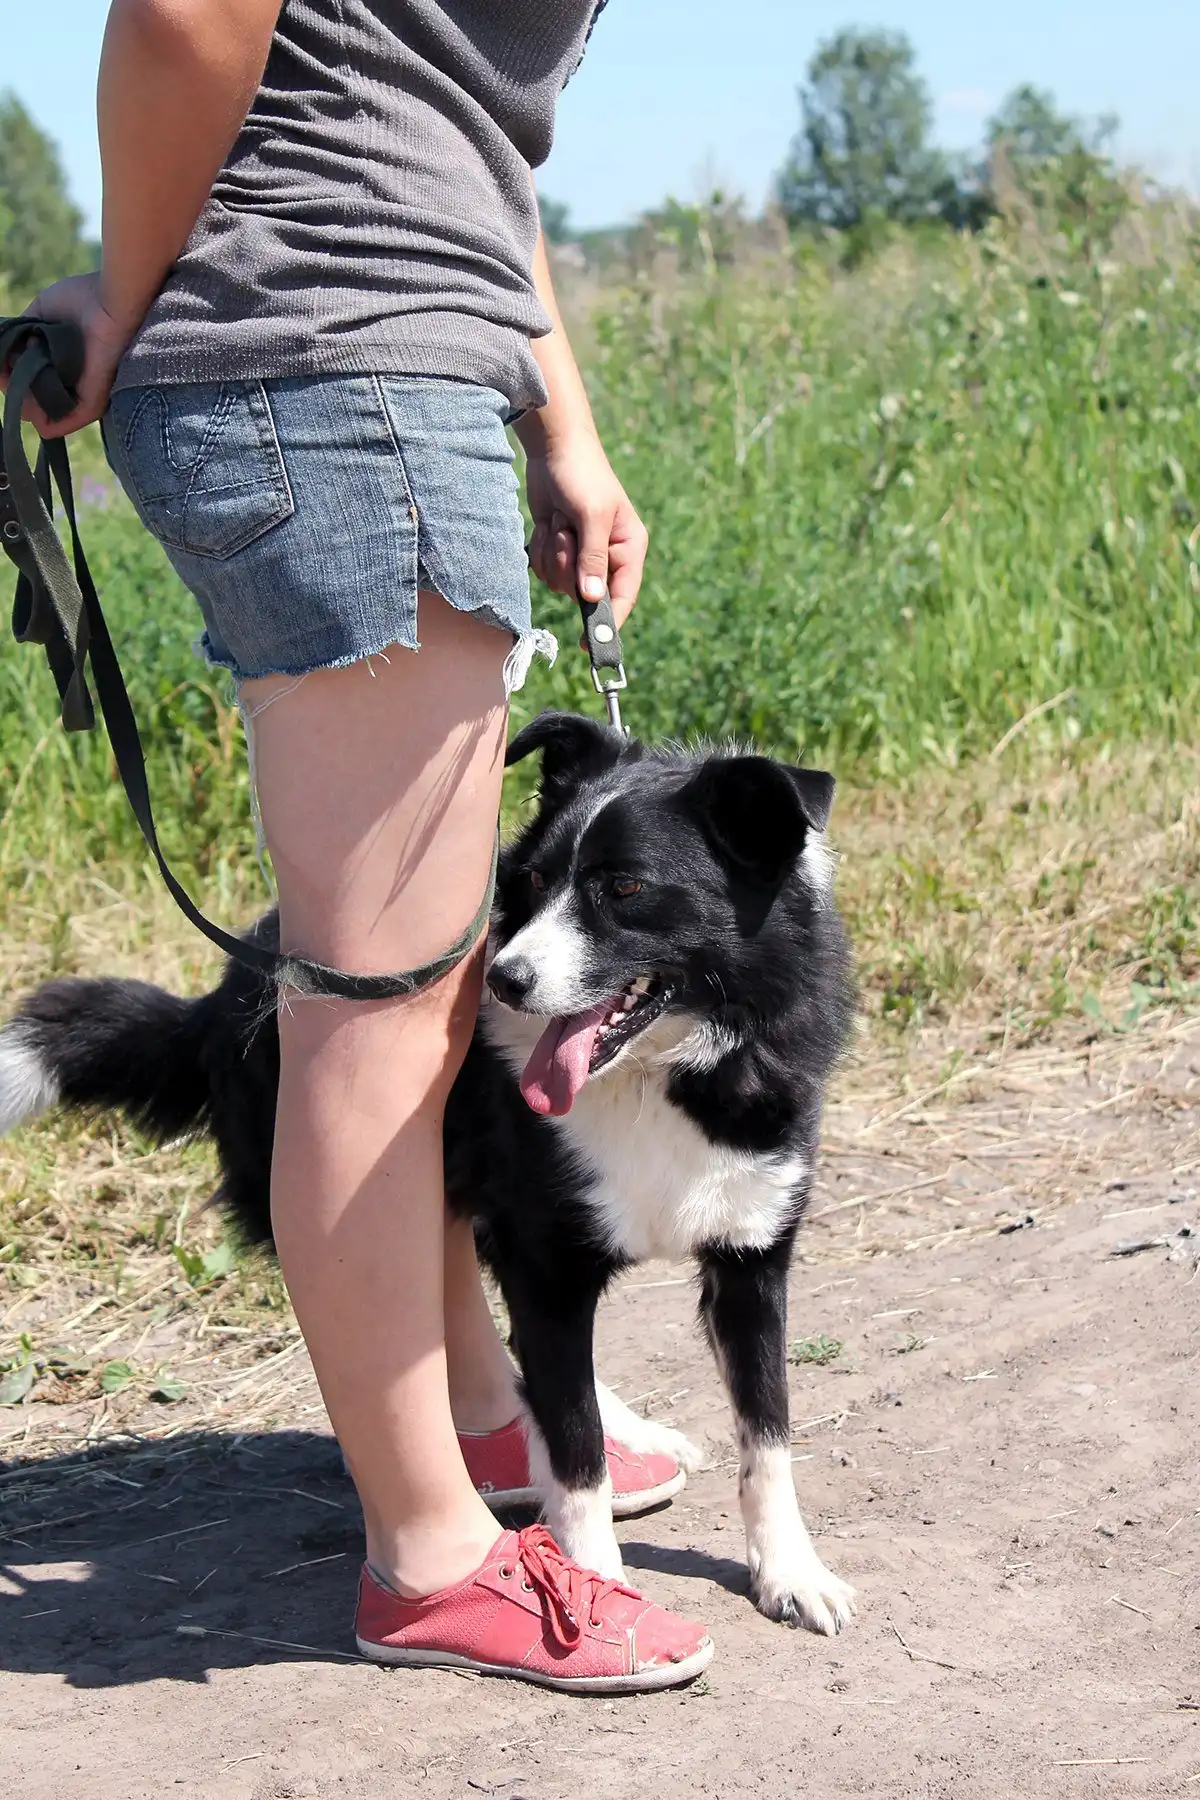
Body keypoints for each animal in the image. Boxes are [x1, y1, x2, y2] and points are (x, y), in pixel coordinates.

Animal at [0, 712, 857, 1634]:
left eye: (625, 888)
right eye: (533, 880)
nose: (505, 980)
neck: (660, 1076)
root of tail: (234, 983)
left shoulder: (750, 1258)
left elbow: (767, 1434)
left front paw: (790, 1571)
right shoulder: (546, 1262)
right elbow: (575, 1453)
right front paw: (595, 1586)